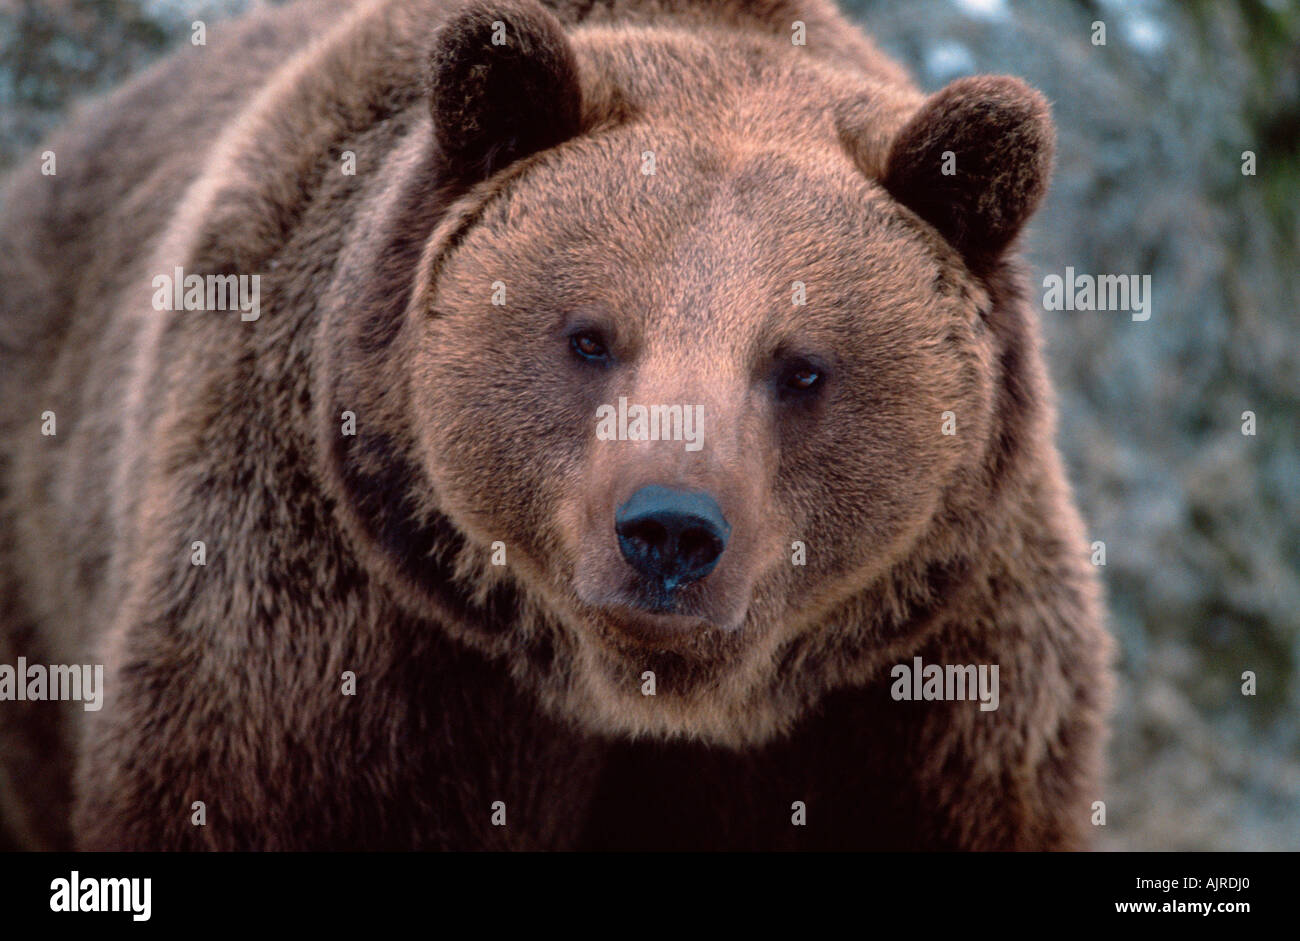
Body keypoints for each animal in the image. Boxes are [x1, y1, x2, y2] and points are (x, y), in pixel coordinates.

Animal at [0, 0, 1112, 850]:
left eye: (801, 367)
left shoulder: (911, 695)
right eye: (590, 337)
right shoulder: (331, 625)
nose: (670, 530)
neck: (626, 691)